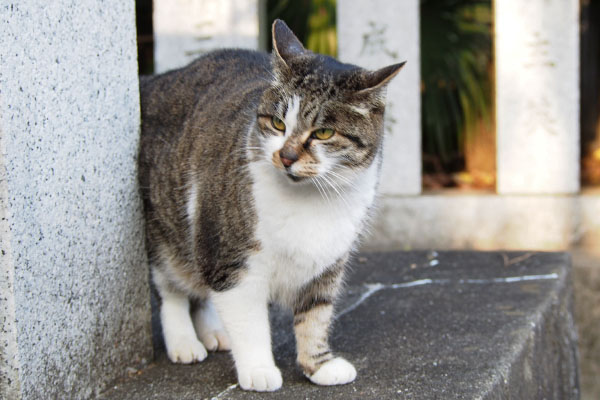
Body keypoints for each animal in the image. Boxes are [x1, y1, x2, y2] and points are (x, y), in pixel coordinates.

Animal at [139, 18, 404, 390]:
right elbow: (249, 324)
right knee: (172, 290)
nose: (286, 156)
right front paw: (259, 371)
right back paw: (184, 342)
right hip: (170, 231)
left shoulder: (327, 264)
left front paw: (318, 365)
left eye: (323, 133)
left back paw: (214, 333)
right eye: (278, 124)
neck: (311, 200)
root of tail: (158, 78)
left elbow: (315, 317)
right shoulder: (233, 260)